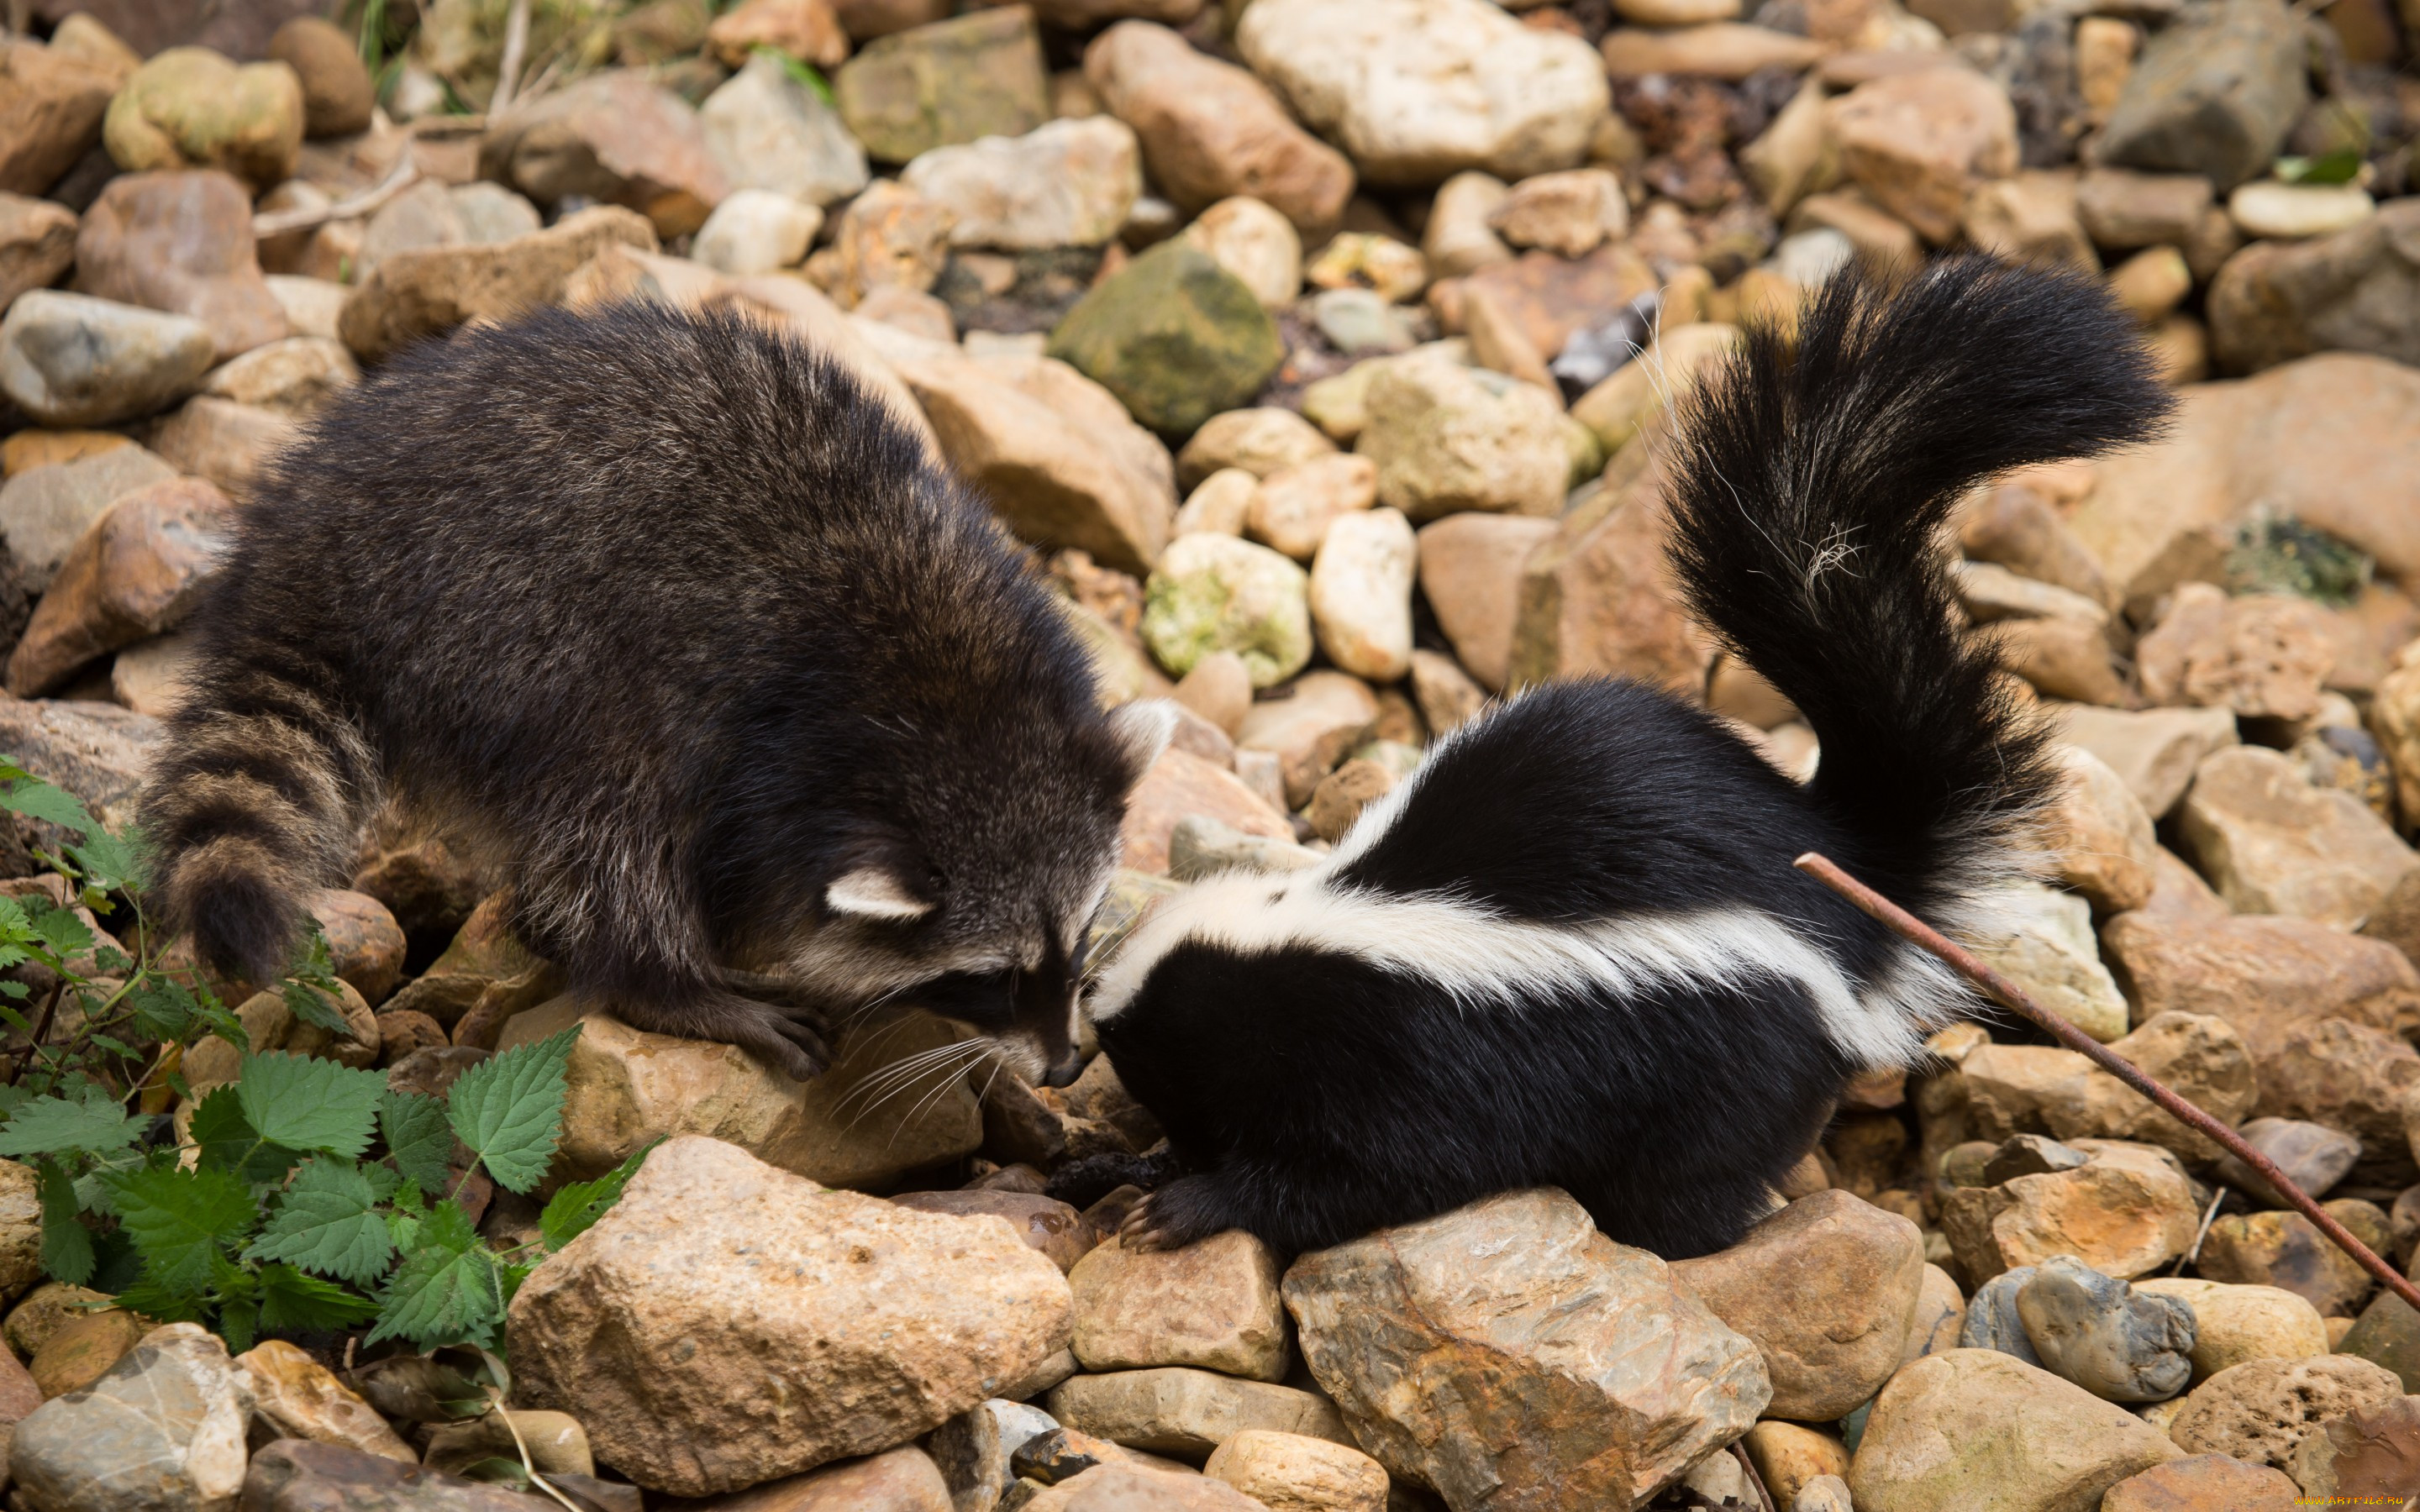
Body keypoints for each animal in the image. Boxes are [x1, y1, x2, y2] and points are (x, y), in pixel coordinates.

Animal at [141, 303, 1171, 1084]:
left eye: (1080, 938)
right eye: (988, 977)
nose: (1065, 1069)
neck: (953, 703)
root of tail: (306, 544)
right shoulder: (770, 727)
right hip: (511, 633)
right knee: (612, 820)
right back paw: (665, 981)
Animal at [1089, 262, 2168, 1257]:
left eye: (1171, 1062)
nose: (1138, 1120)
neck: (1312, 931)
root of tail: (1850, 866)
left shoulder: (1415, 1057)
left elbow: (1376, 1171)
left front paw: (1188, 1205)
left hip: (1728, 1060)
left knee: (1684, 1185)